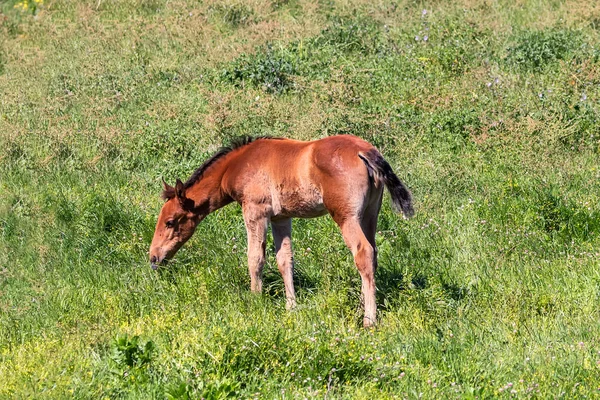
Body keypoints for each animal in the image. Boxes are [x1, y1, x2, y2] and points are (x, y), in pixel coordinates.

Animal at [149, 135, 412, 328]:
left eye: (170, 222)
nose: (154, 258)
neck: (239, 163)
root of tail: (365, 151)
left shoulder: (255, 211)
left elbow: (255, 258)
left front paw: (255, 300)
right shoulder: (281, 217)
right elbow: (285, 260)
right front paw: (291, 306)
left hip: (346, 216)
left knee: (363, 252)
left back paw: (369, 319)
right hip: (370, 214)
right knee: (373, 254)